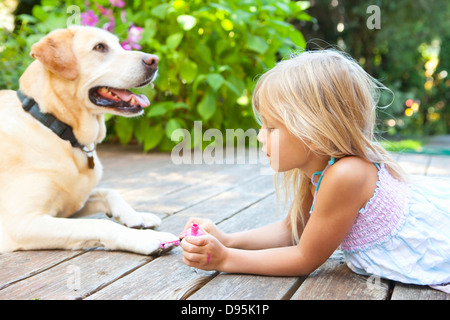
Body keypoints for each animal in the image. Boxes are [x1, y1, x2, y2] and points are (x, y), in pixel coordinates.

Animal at [0, 25, 179, 255]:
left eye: (119, 44)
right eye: (100, 47)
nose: (154, 60)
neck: (55, 127)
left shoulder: (74, 202)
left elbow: (108, 192)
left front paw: (137, 216)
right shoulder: (23, 223)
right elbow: (99, 223)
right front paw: (147, 239)